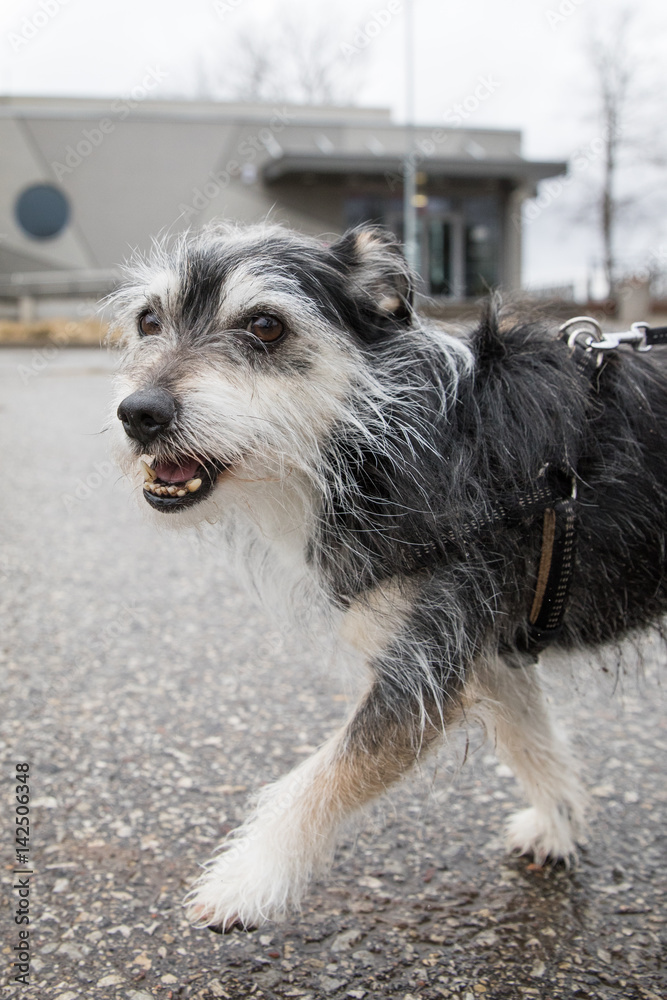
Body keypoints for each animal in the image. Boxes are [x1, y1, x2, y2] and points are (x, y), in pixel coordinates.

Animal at [109, 223, 667, 932]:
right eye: (149, 320)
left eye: (264, 325)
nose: (139, 413)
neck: (391, 441)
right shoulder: (486, 654)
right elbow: (532, 741)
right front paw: (560, 824)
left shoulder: (422, 673)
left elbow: (319, 779)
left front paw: (246, 880)